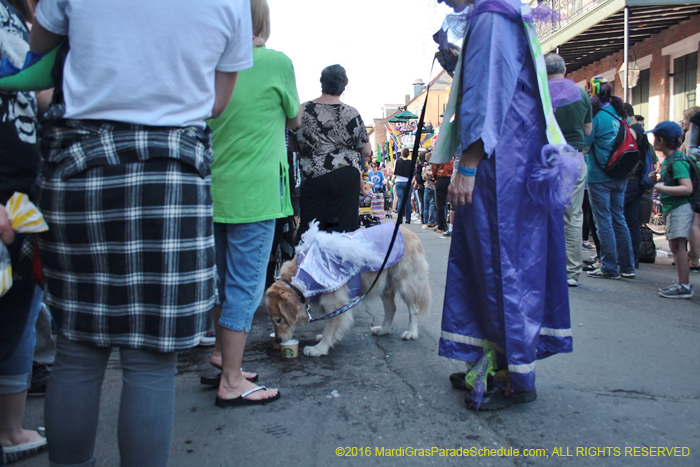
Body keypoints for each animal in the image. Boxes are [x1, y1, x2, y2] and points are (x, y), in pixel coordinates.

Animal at [266, 225, 430, 356]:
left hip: (405, 283)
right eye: (273, 321)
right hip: (385, 286)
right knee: (391, 309)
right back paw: (383, 329)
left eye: (279, 319)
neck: (300, 277)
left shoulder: (336, 303)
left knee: (414, 309)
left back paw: (411, 332)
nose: (278, 340)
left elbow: (330, 327)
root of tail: (409, 232)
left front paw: (319, 348)